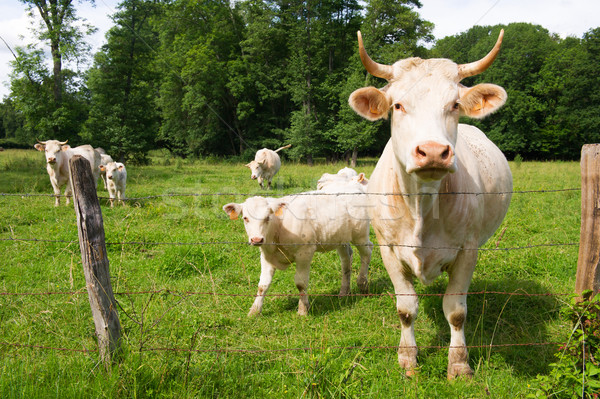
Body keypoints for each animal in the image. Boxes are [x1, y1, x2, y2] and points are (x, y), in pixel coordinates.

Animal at [223, 190, 372, 316]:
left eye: (267, 218)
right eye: (245, 218)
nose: (256, 239)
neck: (278, 227)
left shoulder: (305, 253)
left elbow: (301, 283)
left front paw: (303, 310)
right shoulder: (266, 256)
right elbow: (262, 285)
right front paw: (254, 311)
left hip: (360, 235)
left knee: (367, 252)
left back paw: (363, 284)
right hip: (341, 239)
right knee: (346, 259)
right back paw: (343, 292)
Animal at [350, 29, 512, 380]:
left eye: (454, 104)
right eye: (397, 105)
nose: (434, 152)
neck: (423, 206)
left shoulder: (468, 249)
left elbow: (455, 311)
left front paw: (459, 365)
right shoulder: (388, 249)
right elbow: (406, 308)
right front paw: (408, 359)